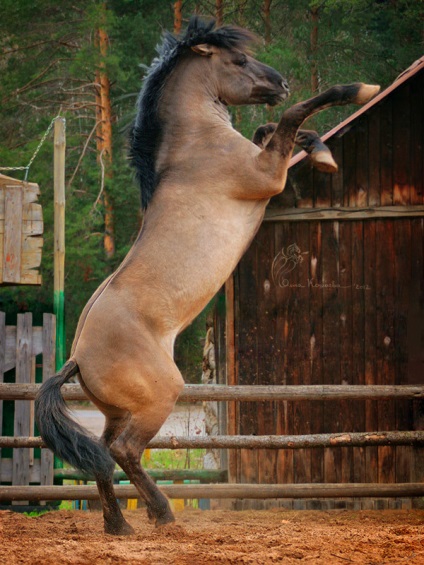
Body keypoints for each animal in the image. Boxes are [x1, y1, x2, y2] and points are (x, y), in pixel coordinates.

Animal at [35, 16, 378, 532]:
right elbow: (291, 116)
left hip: (118, 411)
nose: (280, 82)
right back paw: (160, 514)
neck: (196, 144)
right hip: (160, 398)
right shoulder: (267, 175)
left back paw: (120, 525)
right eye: (238, 60)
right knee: (124, 451)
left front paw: (321, 153)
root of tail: (75, 356)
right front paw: (356, 93)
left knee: (102, 455)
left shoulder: (264, 158)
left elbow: (272, 125)